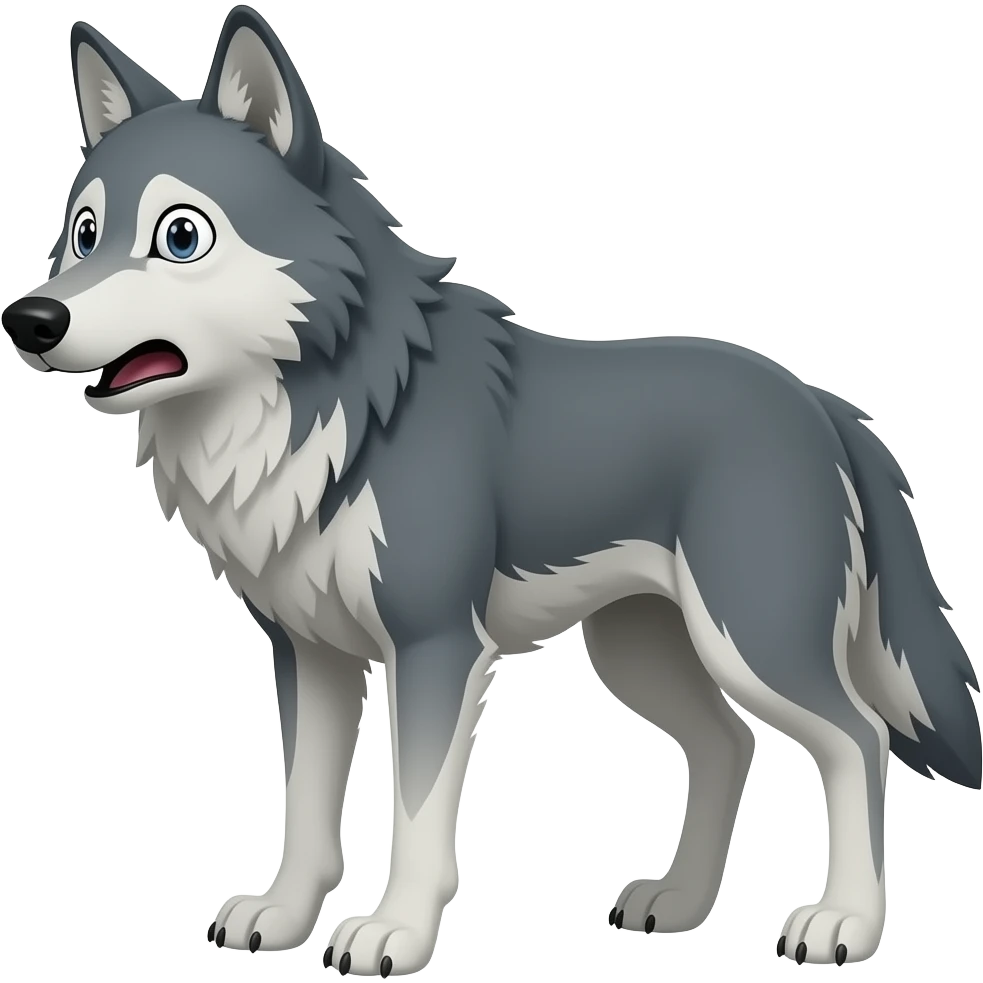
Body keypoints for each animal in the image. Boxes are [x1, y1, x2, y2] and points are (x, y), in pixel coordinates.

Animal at [3, 5, 979, 975]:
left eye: (180, 236)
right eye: (81, 233)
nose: (29, 319)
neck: (336, 408)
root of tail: (820, 402)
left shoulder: (434, 645)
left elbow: (416, 811)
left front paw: (394, 931)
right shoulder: (309, 653)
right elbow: (305, 806)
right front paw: (281, 918)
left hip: (752, 641)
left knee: (858, 739)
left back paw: (843, 921)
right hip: (638, 650)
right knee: (729, 742)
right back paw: (678, 902)